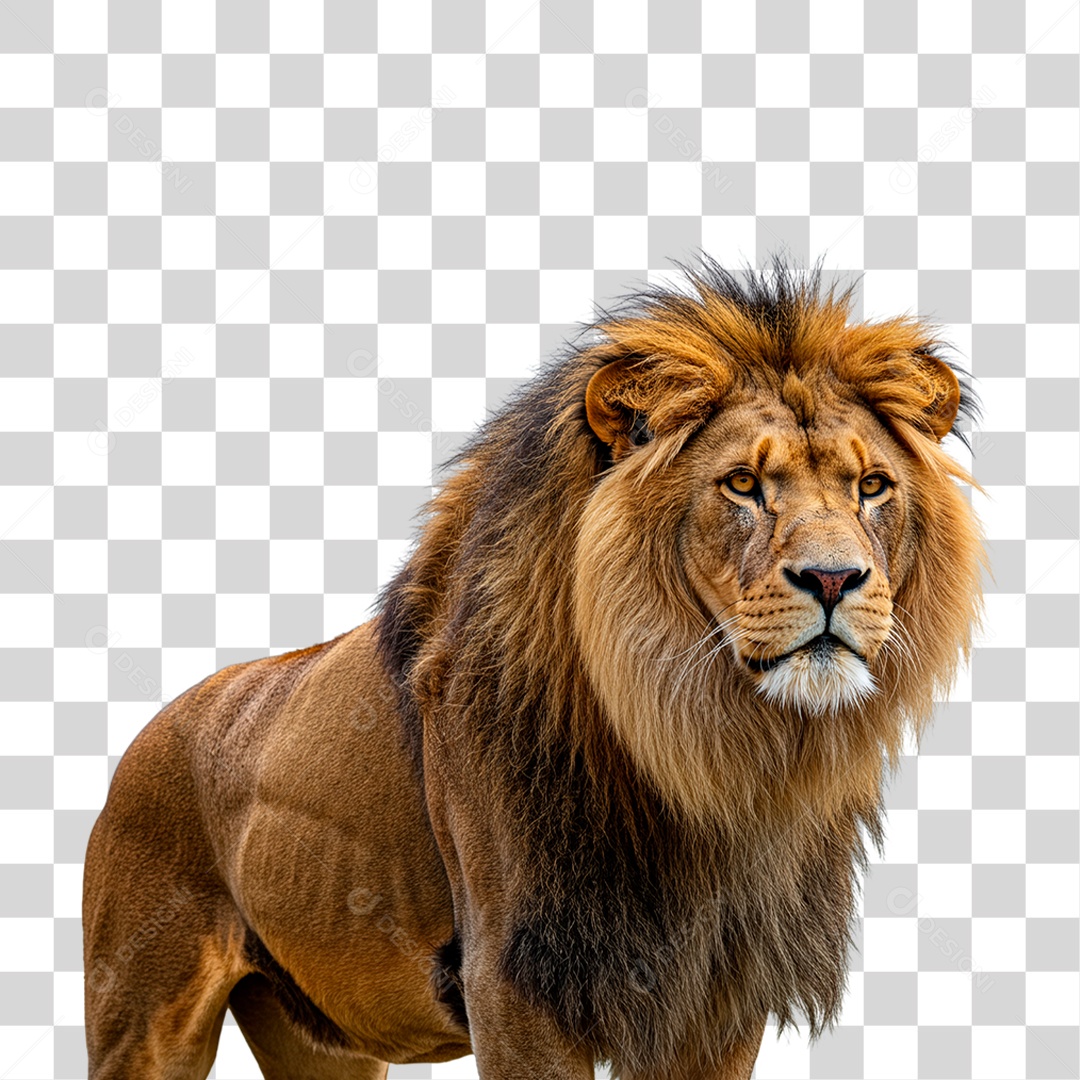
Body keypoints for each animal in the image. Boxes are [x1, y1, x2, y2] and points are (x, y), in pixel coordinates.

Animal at [83, 258, 986, 1080]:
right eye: (741, 484)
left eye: (872, 486)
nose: (834, 580)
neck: (704, 747)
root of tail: (152, 729)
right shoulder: (515, 982)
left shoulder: (718, 994)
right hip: (144, 1012)